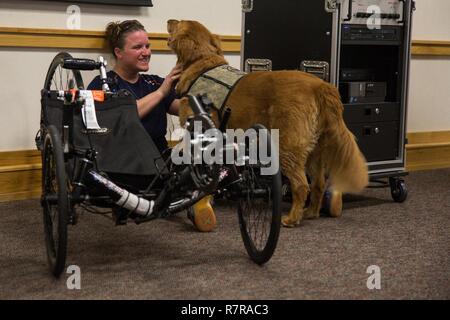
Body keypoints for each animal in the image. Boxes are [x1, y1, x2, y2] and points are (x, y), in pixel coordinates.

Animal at [167, 19, 368, 228]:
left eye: (178, 23)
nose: (169, 20)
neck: (201, 62)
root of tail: (321, 86)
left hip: (287, 146)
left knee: (301, 185)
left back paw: (292, 218)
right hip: (315, 151)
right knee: (318, 184)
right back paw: (310, 212)